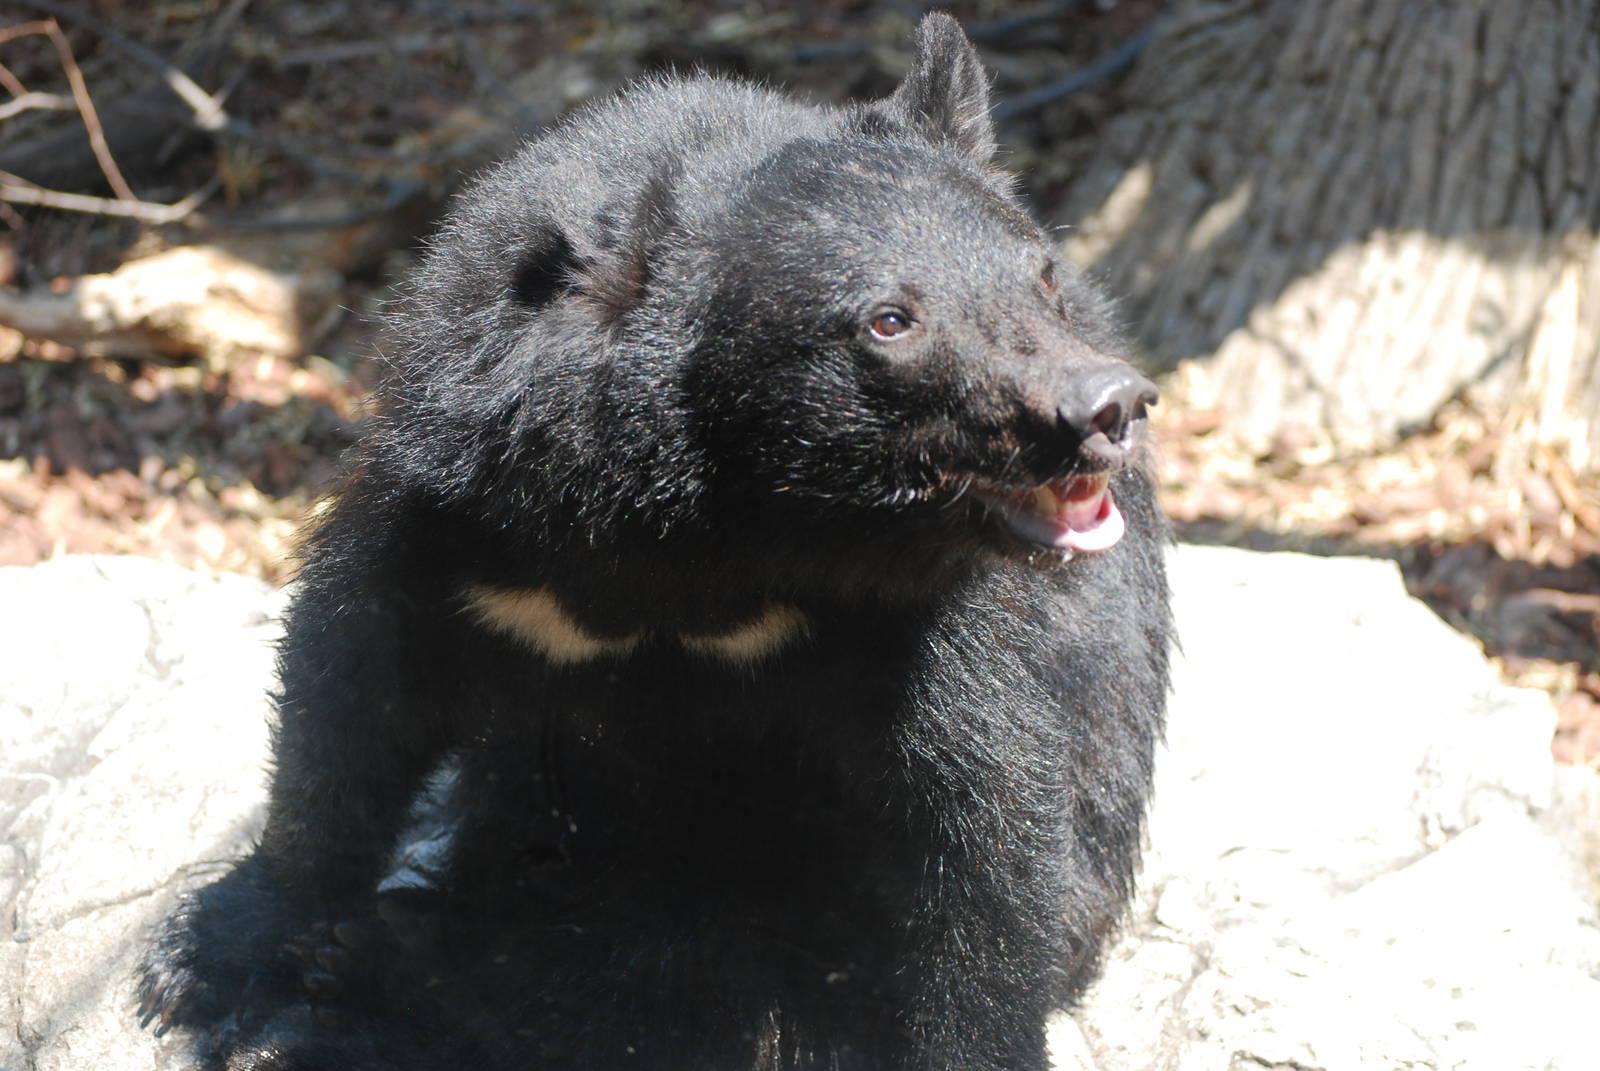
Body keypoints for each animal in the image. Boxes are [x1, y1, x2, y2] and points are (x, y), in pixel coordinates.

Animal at [138, 14, 1171, 1071]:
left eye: (1041, 276)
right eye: (891, 319)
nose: (1102, 408)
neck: (716, 533)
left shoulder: (924, 625)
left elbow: (977, 817)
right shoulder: (463, 502)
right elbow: (359, 680)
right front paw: (211, 952)